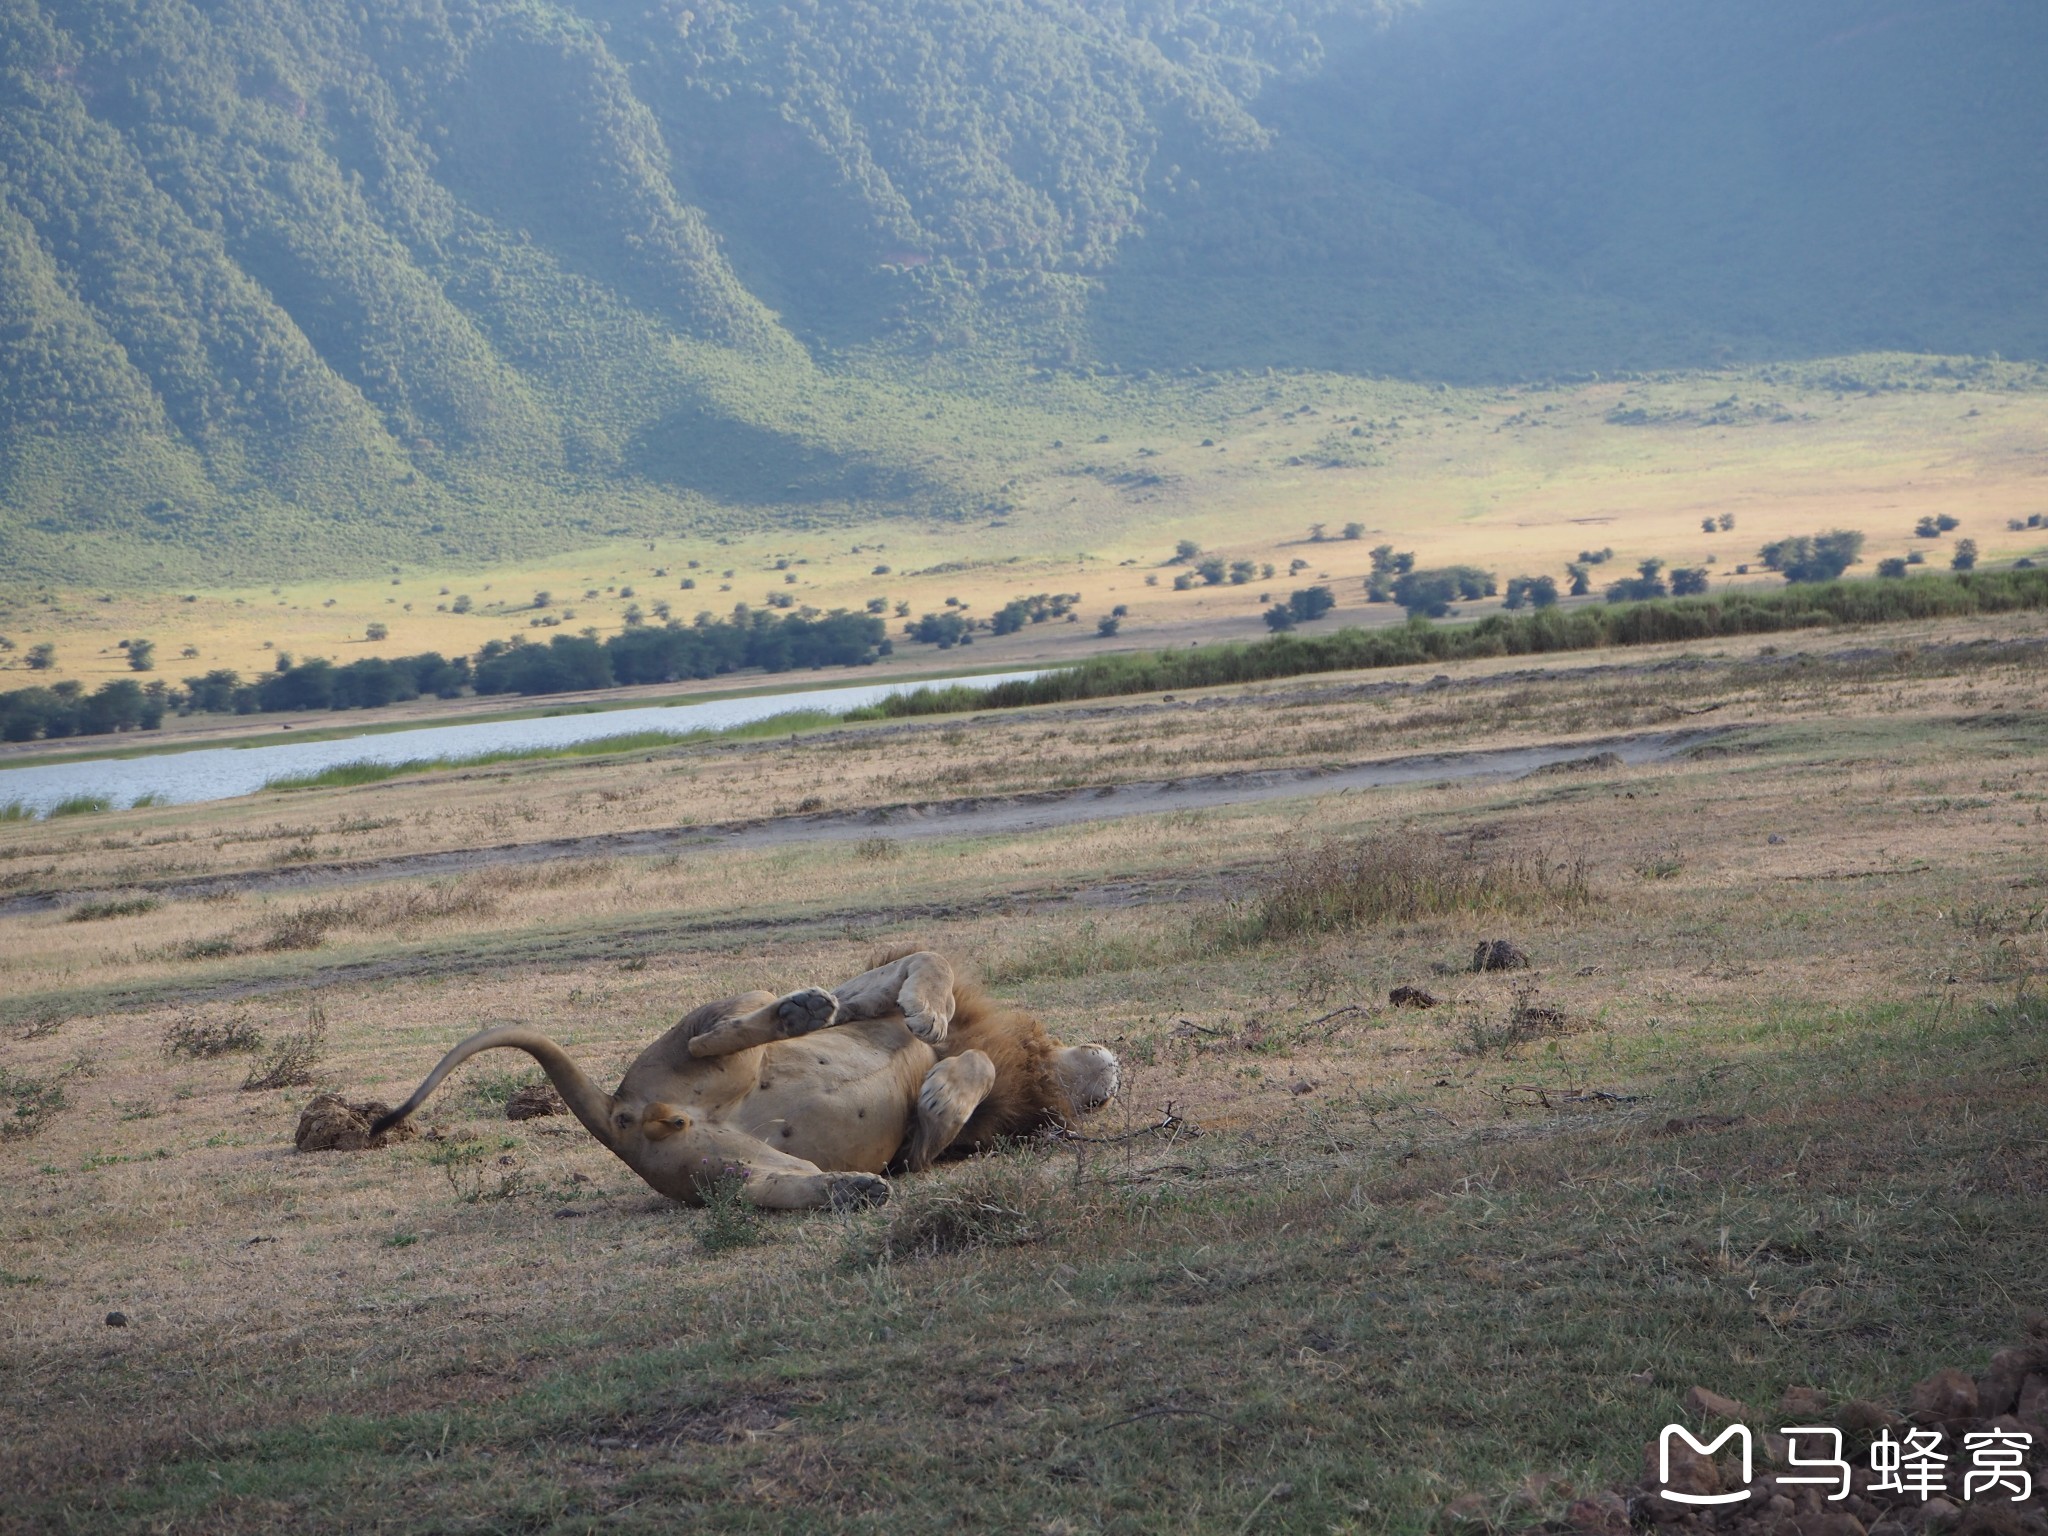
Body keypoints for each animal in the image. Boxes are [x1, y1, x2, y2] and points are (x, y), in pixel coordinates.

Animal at [368, 950, 1122, 1212]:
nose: (1117, 1065)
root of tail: (624, 1115)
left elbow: (971, 1078)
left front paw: (937, 1109)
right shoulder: (872, 993)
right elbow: (926, 963)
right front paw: (930, 1028)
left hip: (727, 1168)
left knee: (770, 1187)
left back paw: (854, 1189)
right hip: (739, 1014)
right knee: (718, 1031)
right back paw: (800, 1010)